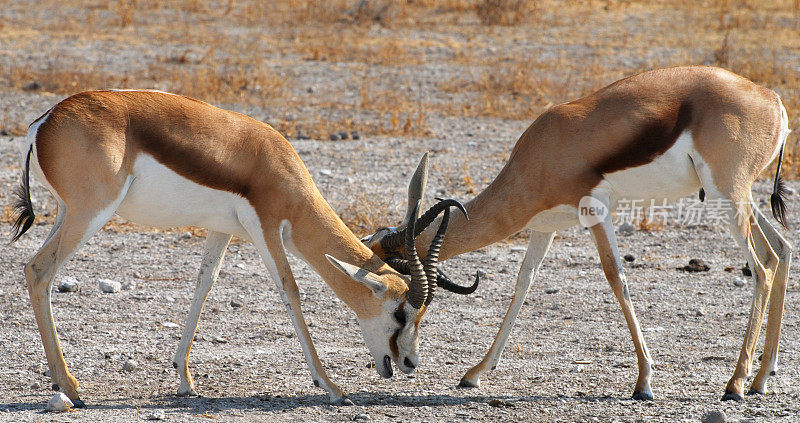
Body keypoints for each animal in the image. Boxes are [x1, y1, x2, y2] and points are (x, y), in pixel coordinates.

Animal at [9, 91, 466, 410]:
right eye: (400, 313)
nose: (410, 364)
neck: (275, 165)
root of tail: (44, 122)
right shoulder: (266, 229)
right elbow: (290, 291)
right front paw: (332, 387)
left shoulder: (220, 231)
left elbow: (204, 284)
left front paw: (184, 380)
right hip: (92, 213)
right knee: (38, 270)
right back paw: (71, 388)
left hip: (68, 213)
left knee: (36, 271)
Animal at [368, 66, 792, 400]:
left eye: (403, 308)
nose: (404, 361)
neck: (543, 151)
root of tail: (771, 99)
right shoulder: (545, 228)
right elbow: (523, 284)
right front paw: (474, 374)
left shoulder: (595, 211)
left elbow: (616, 278)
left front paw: (644, 383)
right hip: (736, 198)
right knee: (781, 249)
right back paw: (761, 379)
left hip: (727, 196)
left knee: (761, 268)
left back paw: (735, 385)